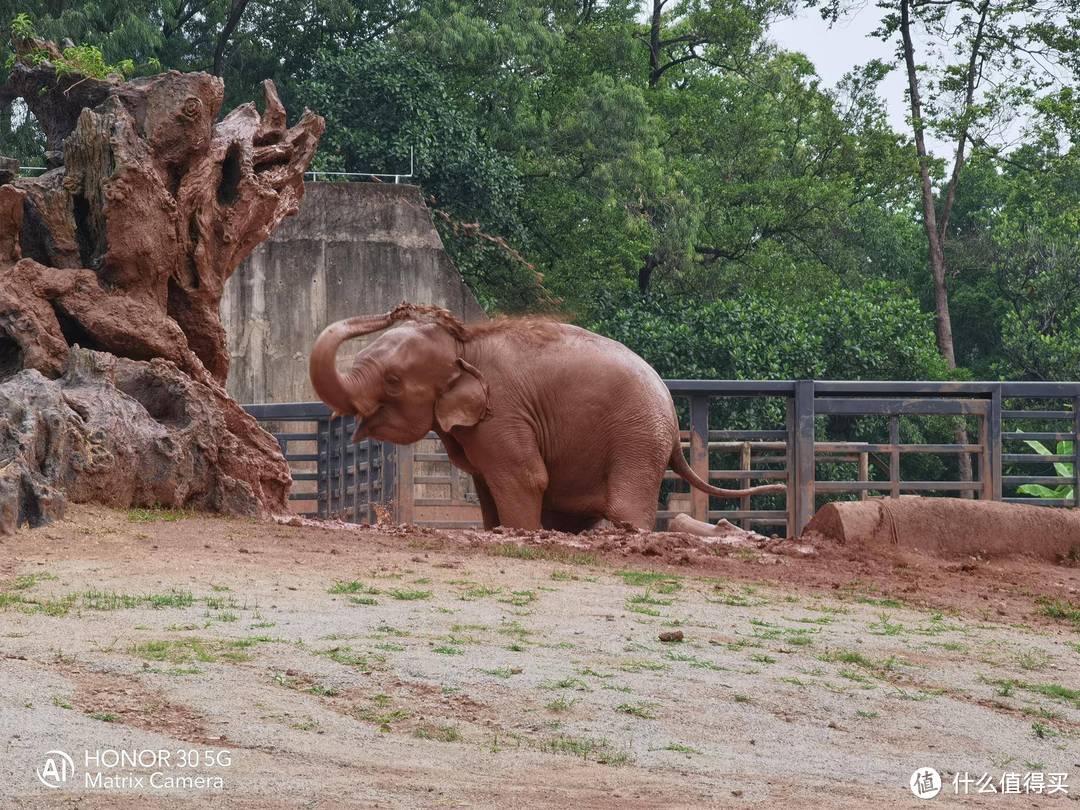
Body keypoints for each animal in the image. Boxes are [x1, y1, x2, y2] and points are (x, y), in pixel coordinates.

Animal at [308, 302, 781, 533]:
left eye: (392, 380)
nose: (402, 307)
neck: (466, 345)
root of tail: (669, 403)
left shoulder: (504, 414)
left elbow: (524, 479)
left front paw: (518, 532)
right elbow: (487, 489)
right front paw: (498, 529)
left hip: (638, 437)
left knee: (625, 506)